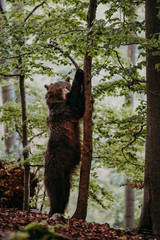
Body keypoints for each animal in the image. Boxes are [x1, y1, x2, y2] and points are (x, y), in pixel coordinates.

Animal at [43, 68, 84, 217]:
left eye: (66, 86)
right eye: (58, 89)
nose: (66, 92)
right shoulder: (64, 110)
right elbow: (78, 106)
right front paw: (79, 74)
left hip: (65, 174)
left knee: (65, 192)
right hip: (56, 165)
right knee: (57, 192)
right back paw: (54, 210)